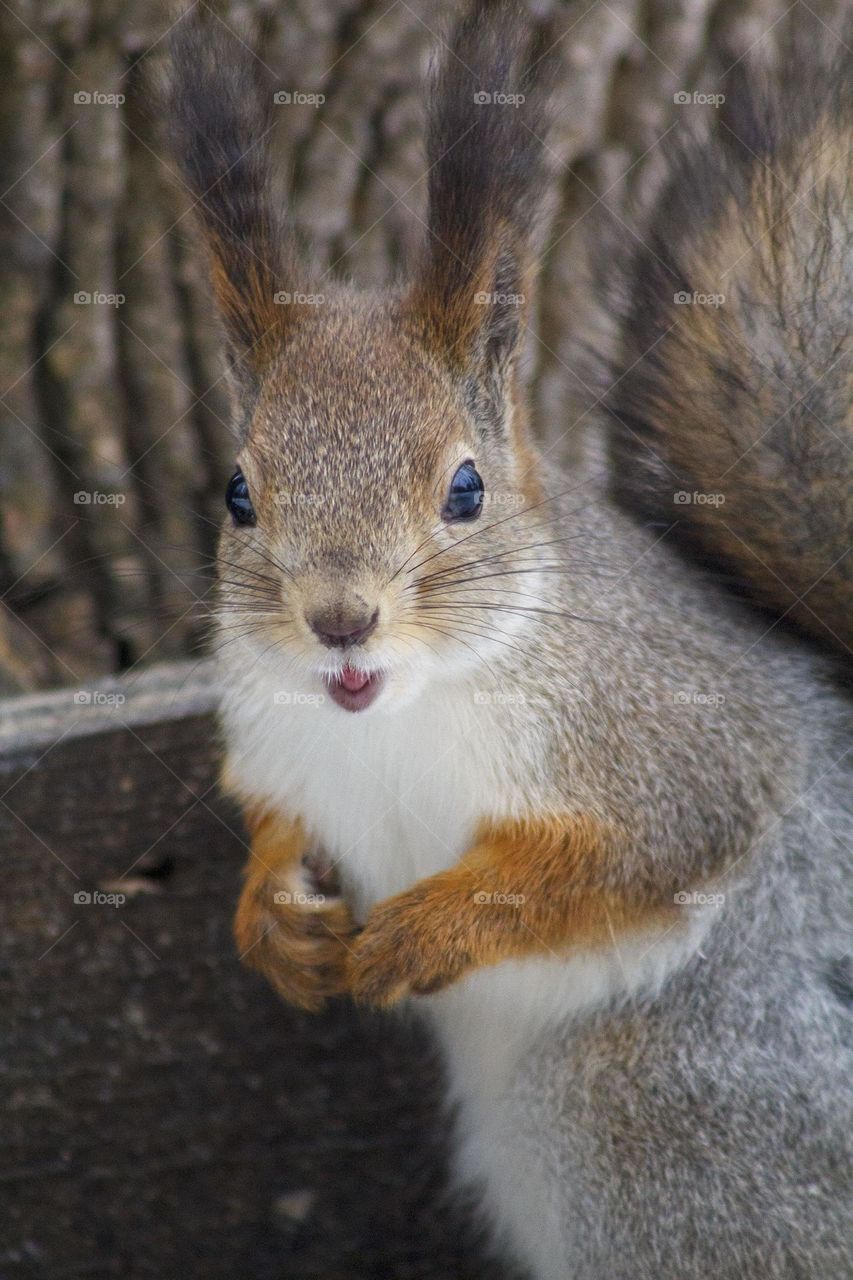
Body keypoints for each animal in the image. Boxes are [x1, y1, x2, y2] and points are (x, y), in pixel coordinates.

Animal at [169, 6, 852, 1280]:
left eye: (466, 488)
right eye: (238, 493)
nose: (339, 616)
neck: (393, 713)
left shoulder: (671, 744)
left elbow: (619, 859)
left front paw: (426, 930)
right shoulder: (280, 745)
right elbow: (278, 827)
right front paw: (275, 920)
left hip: (653, 1117)